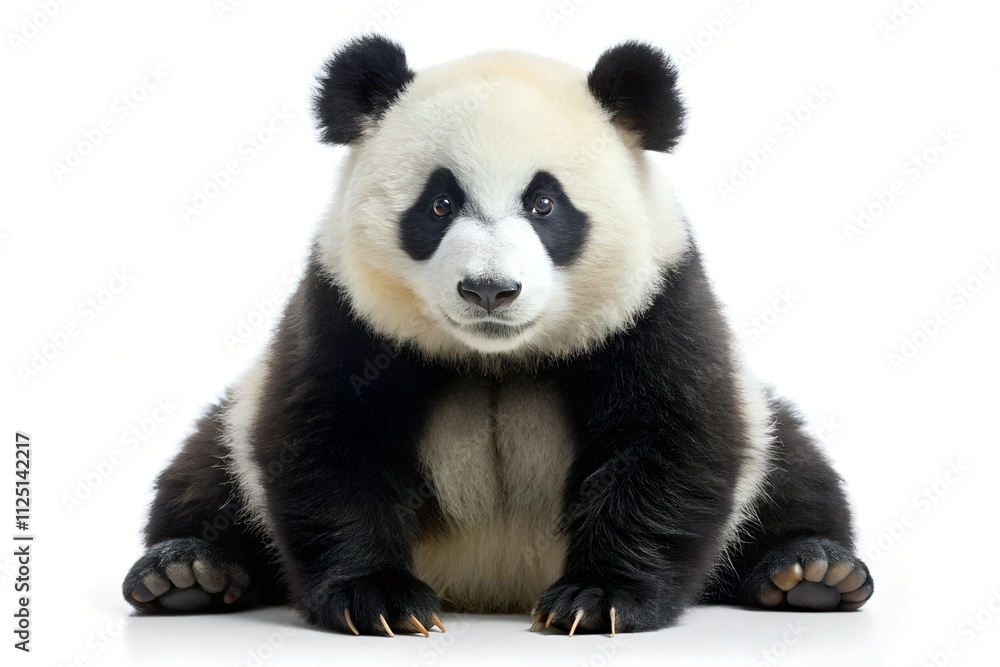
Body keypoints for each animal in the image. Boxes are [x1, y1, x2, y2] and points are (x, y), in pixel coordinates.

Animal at [122, 35, 873, 637]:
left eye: (544, 204)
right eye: (439, 203)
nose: (489, 290)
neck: (495, 357)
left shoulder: (657, 304)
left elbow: (670, 436)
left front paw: (598, 598)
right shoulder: (343, 313)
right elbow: (327, 440)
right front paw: (379, 600)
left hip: (762, 424)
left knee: (792, 467)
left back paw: (809, 571)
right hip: (232, 427)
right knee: (205, 472)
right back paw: (187, 572)